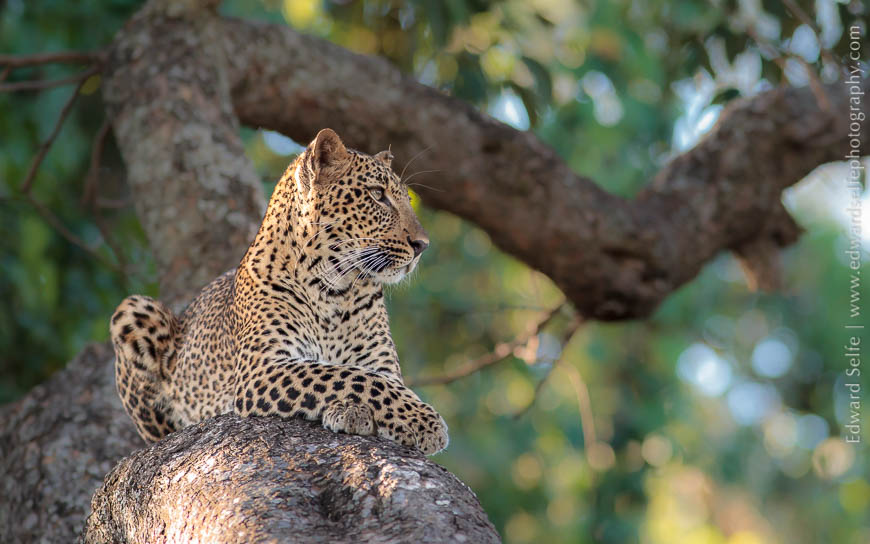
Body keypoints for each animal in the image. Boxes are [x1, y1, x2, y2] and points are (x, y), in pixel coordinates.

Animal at [110, 128, 448, 455]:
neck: (335, 290)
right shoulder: (262, 368)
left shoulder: (382, 364)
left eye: (407, 199)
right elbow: (351, 377)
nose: (423, 245)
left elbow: (373, 379)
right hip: (133, 311)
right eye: (377, 195)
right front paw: (424, 421)